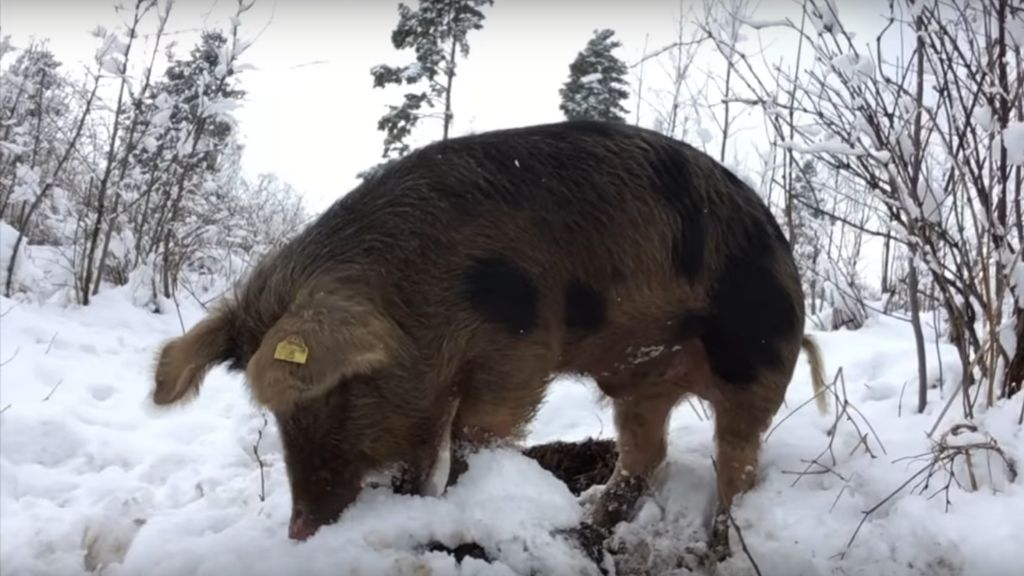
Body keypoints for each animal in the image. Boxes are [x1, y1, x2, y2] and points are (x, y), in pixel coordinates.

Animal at [149, 119, 823, 557]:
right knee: (645, 456)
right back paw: (584, 526)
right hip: (642, 384)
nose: (301, 532)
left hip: (758, 363)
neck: (423, 296)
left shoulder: (521, 346)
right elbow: (432, 448)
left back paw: (721, 547)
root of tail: (784, 249)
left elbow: (476, 435)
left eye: (343, 386)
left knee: (737, 463)